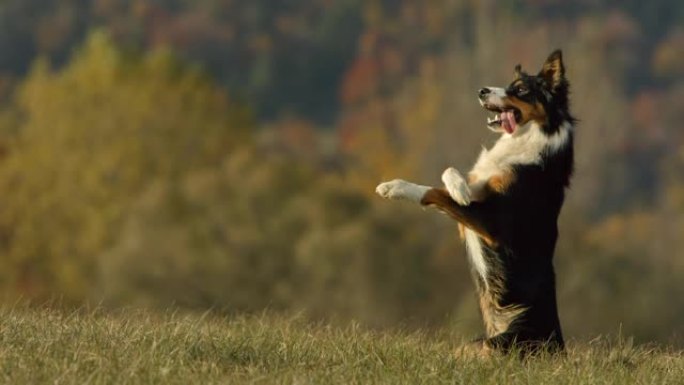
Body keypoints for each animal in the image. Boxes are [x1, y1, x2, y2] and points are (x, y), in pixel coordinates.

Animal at [376, 49, 576, 356]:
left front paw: (395, 187)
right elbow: (449, 176)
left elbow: (433, 193)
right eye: (509, 84)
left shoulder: (491, 225)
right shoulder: (471, 211)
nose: (482, 91)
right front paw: (457, 185)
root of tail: (559, 349)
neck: (531, 136)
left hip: (493, 344)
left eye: (520, 90)